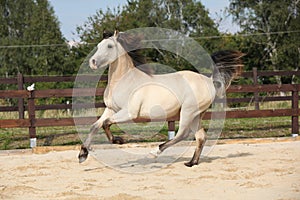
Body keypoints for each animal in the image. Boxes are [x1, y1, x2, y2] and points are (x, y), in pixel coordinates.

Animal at [78, 30, 244, 167]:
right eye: (98, 46)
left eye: (109, 46)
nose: (92, 62)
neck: (124, 81)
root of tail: (209, 80)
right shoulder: (111, 109)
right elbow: (95, 126)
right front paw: (82, 154)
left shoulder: (129, 113)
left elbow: (106, 123)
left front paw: (118, 140)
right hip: (197, 114)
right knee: (200, 136)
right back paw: (192, 163)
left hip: (188, 111)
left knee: (183, 134)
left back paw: (155, 152)